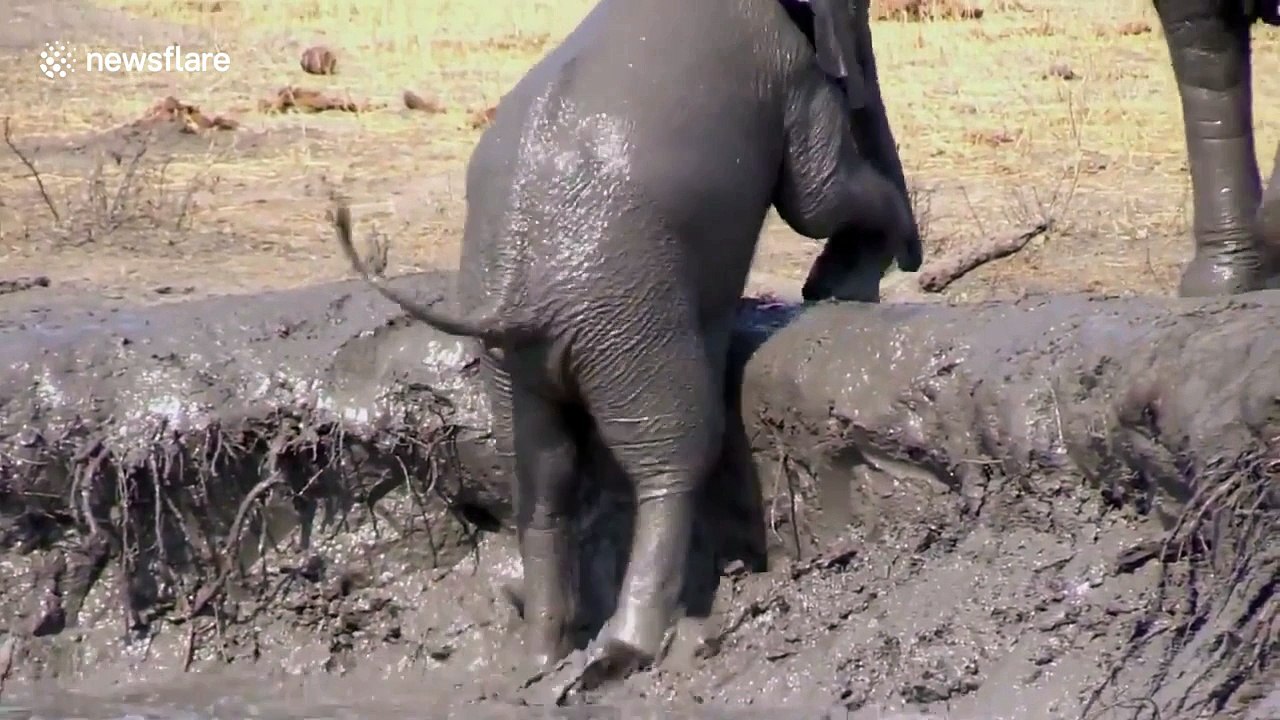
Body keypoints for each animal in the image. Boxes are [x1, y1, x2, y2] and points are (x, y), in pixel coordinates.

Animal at [331, 0, 920, 684]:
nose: (912, 262)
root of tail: (515, 297)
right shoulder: (791, 70)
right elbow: (816, 197)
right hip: (632, 323)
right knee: (672, 457)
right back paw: (630, 651)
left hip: (528, 358)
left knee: (541, 472)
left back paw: (543, 657)